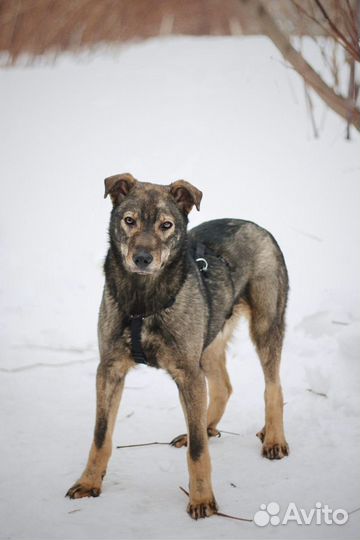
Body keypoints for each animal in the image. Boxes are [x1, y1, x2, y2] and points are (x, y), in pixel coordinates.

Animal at [65, 173, 290, 520]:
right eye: (129, 220)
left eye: (166, 225)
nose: (142, 259)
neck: (143, 300)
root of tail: (253, 224)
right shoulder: (110, 368)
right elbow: (101, 436)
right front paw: (89, 482)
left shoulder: (187, 373)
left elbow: (198, 452)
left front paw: (202, 500)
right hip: (206, 345)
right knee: (222, 388)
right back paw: (205, 426)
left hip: (264, 325)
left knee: (273, 387)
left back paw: (274, 439)